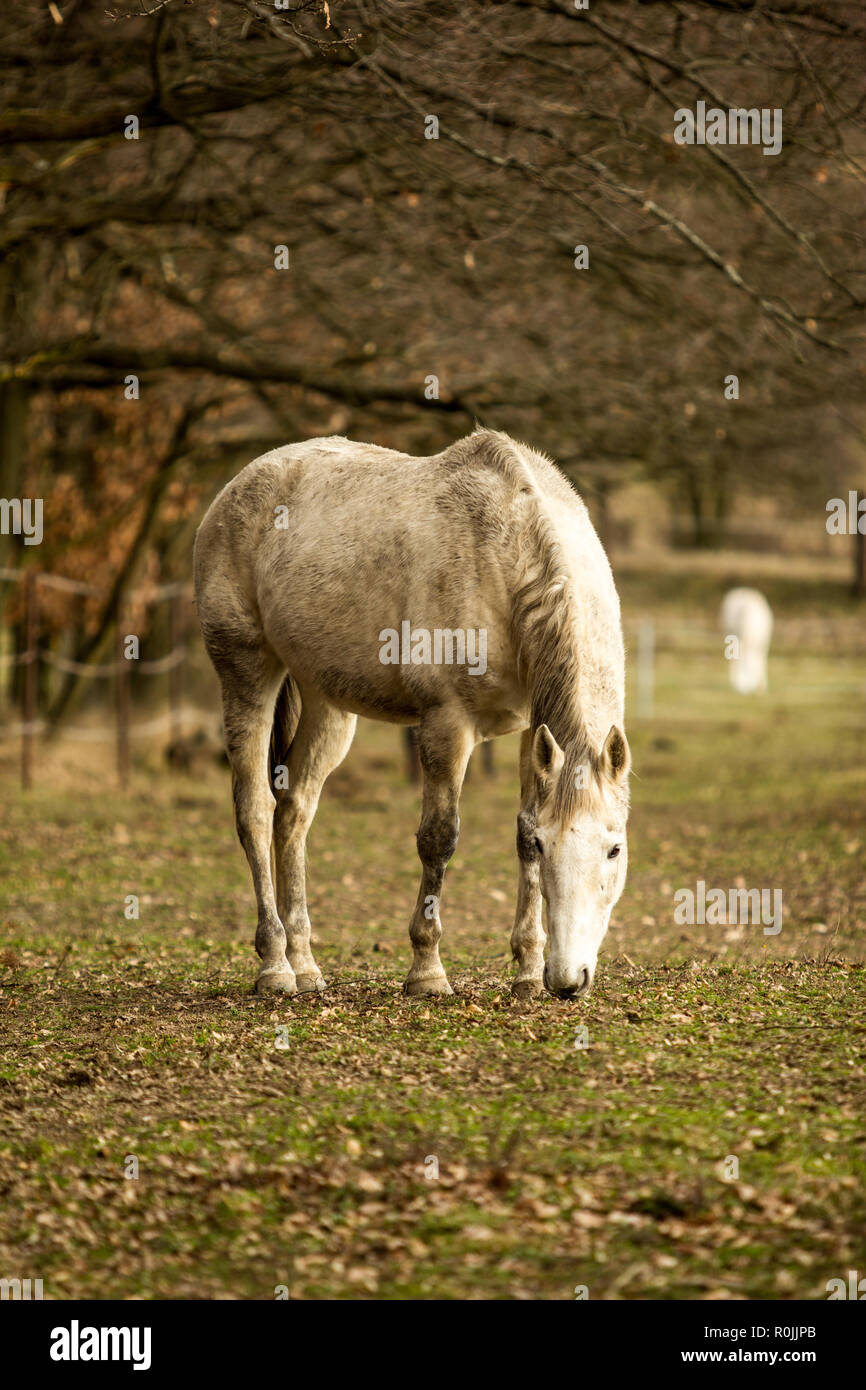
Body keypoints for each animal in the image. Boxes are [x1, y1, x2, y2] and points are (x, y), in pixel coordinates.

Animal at [193, 429, 631, 1001]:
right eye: (547, 845)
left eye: (614, 850)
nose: (567, 979)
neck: (506, 555)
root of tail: (239, 486)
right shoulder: (447, 725)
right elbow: (438, 839)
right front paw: (427, 971)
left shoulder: (531, 735)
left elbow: (516, 828)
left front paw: (527, 971)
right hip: (247, 672)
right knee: (255, 811)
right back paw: (275, 966)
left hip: (327, 707)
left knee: (294, 813)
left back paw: (305, 964)